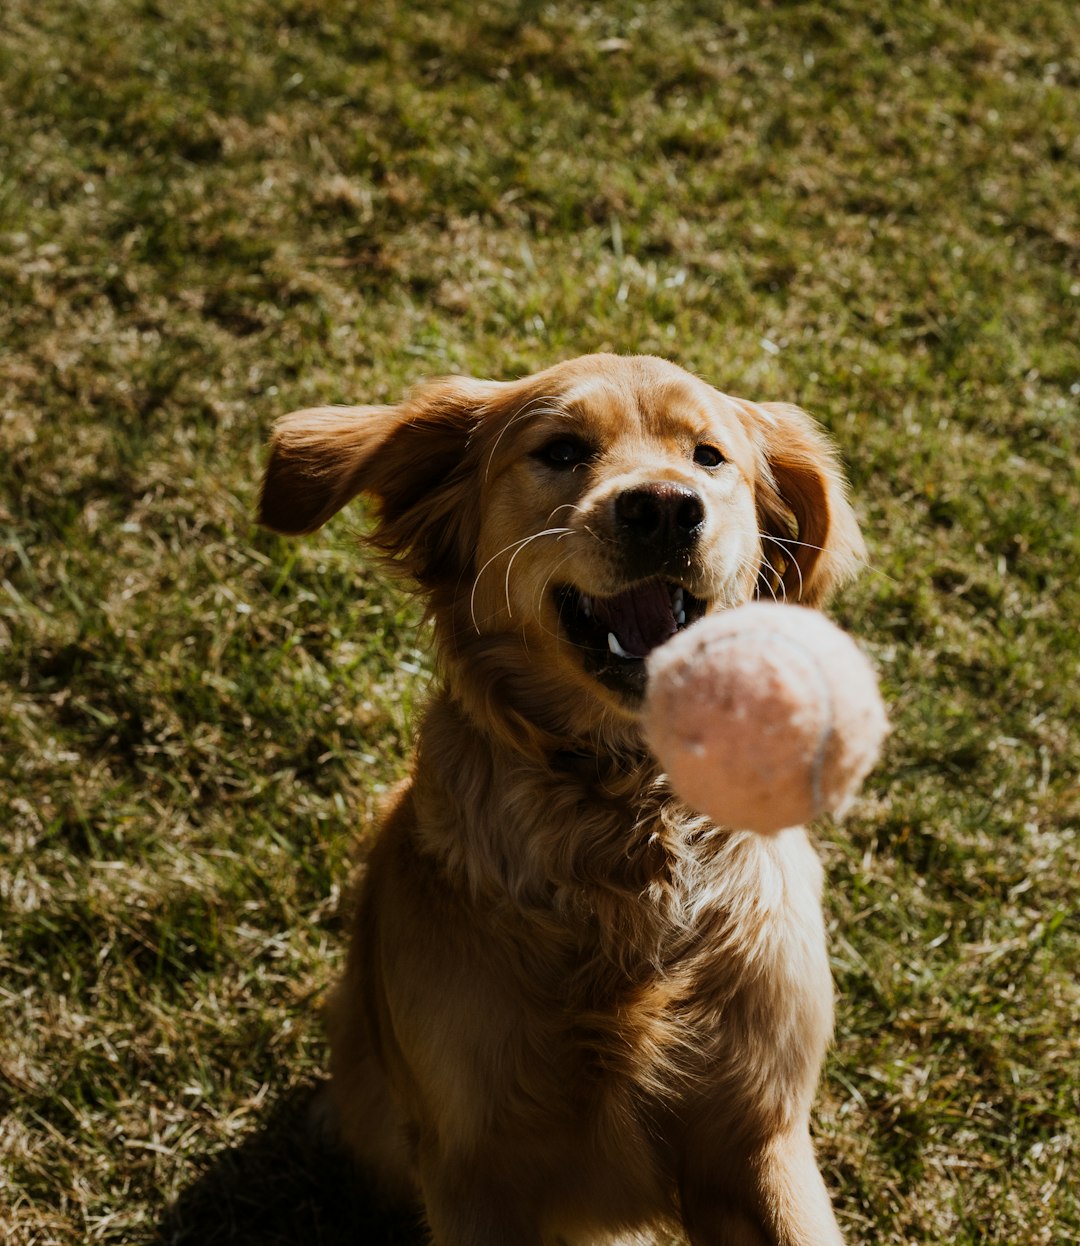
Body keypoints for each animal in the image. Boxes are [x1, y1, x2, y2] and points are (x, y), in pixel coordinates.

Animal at [261, 353, 871, 1246]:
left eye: (708, 457)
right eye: (561, 451)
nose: (664, 509)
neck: (622, 815)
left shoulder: (759, 1132)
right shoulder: (475, 1166)